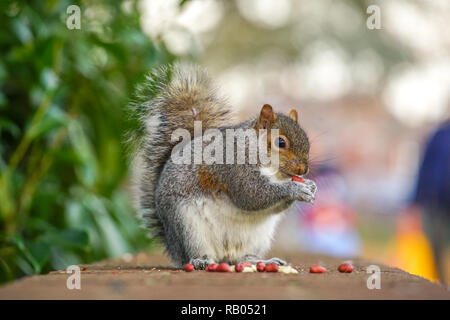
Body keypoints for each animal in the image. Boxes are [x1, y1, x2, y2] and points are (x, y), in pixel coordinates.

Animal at [130, 63, 318, 268]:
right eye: (280, 142)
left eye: (307, 140)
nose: (303, 170)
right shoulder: (234, 164)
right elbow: (252, 195)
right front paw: (295, 188)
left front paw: (310, 186)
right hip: (187, 226)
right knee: (194, 253)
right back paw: (201, 260)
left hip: (258, 238)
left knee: (242, 258)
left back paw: (261, 261)